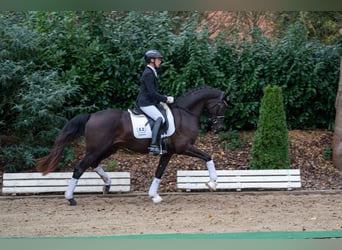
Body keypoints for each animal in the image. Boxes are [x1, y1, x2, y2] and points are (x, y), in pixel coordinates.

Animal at [36, 87, 228, 204]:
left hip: (108, 148)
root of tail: (91, 116)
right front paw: (212, 182)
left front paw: (154, 196)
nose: (219, 128)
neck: (186, 113)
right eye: (221, 106)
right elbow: (208, 157)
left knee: (93, 164)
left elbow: (159, 172)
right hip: (97, 149)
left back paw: (108, 184)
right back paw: (70, 198)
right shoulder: (184, 147)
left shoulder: (168, 152)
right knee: (79, 168)